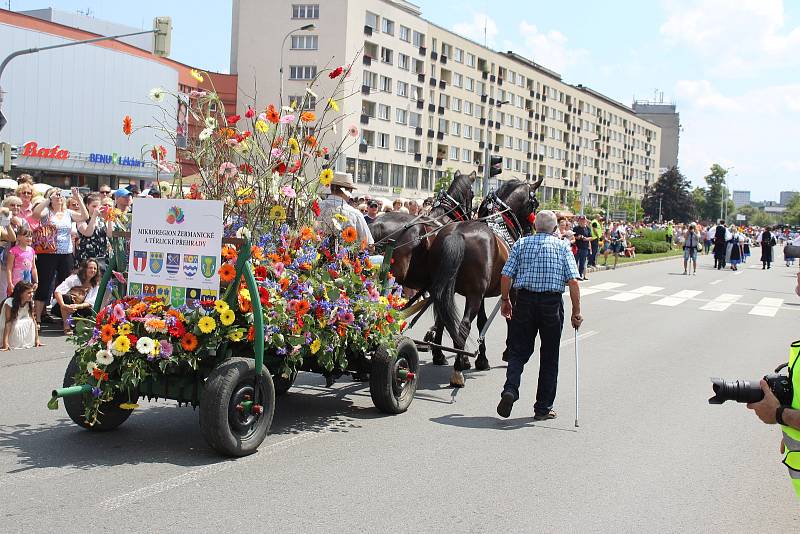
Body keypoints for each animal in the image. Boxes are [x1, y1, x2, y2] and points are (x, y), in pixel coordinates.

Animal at [424, 178, 544, 388]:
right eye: (534, 203)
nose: (531, 230)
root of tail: (456, 234)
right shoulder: (510, 290)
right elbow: (510, 319)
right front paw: (508, 352)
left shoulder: (479, 294)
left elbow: (482, 322)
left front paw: (481, 359)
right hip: (473, 295)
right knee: (463, 326)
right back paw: (457, 371)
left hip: (451, 290)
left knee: (443, 320)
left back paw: (444, 355)